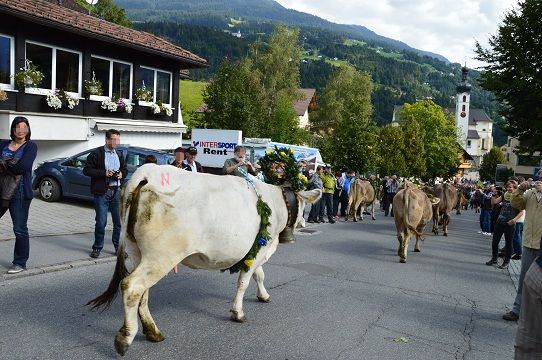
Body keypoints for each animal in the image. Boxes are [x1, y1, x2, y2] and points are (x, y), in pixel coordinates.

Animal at [89, 165, 324, 356]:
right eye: (302, 205)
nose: (303, 223)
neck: (274, 203)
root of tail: (147, 173)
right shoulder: (261, 246)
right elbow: (244, 281)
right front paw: (238, 312)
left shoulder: (255, 248)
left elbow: (259, 274)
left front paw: (263, 295)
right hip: (162, 255)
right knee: (132, 286)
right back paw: (125, 338)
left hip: (137, 250)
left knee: (143, 291)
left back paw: (153, 332)